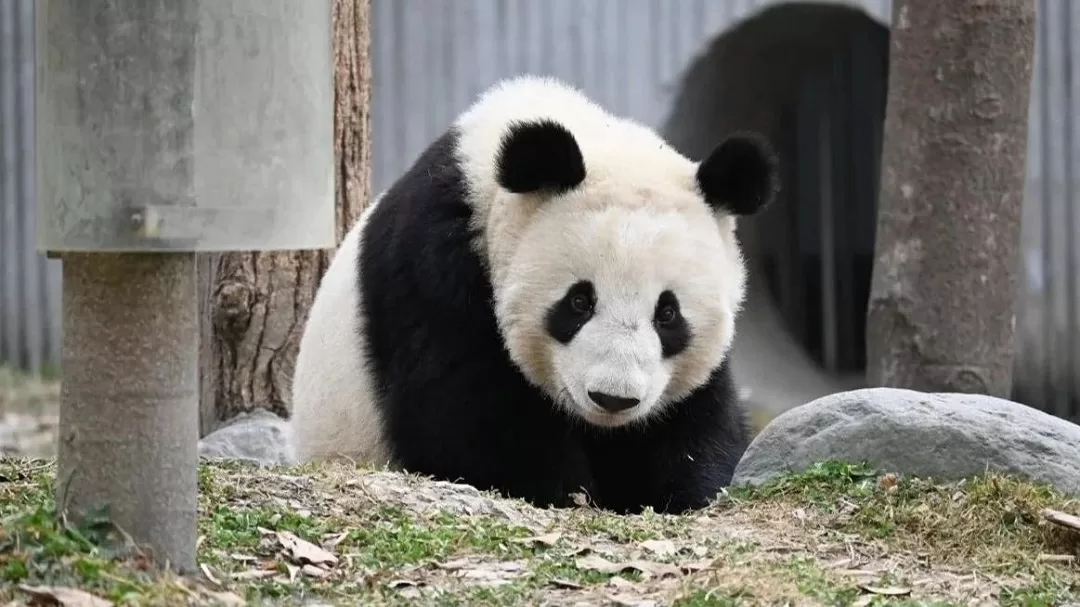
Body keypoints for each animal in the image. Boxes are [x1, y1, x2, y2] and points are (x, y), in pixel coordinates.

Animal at [288, 75, 779, 515]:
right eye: (579, 302)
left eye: (668, 314)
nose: (613, 398)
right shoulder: (435, 268)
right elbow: (465, 416)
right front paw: (563, 491)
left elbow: (697, 417)